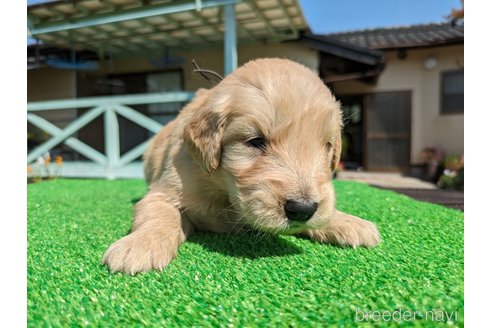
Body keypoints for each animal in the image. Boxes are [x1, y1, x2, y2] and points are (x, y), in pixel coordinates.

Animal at [103, 57, 380, 274]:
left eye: (326, 146)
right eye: (255, 141)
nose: (303, 209)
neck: (224, 192)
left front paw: (348, 222)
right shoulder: (165, 190)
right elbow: (159, 215)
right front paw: (140, 244)